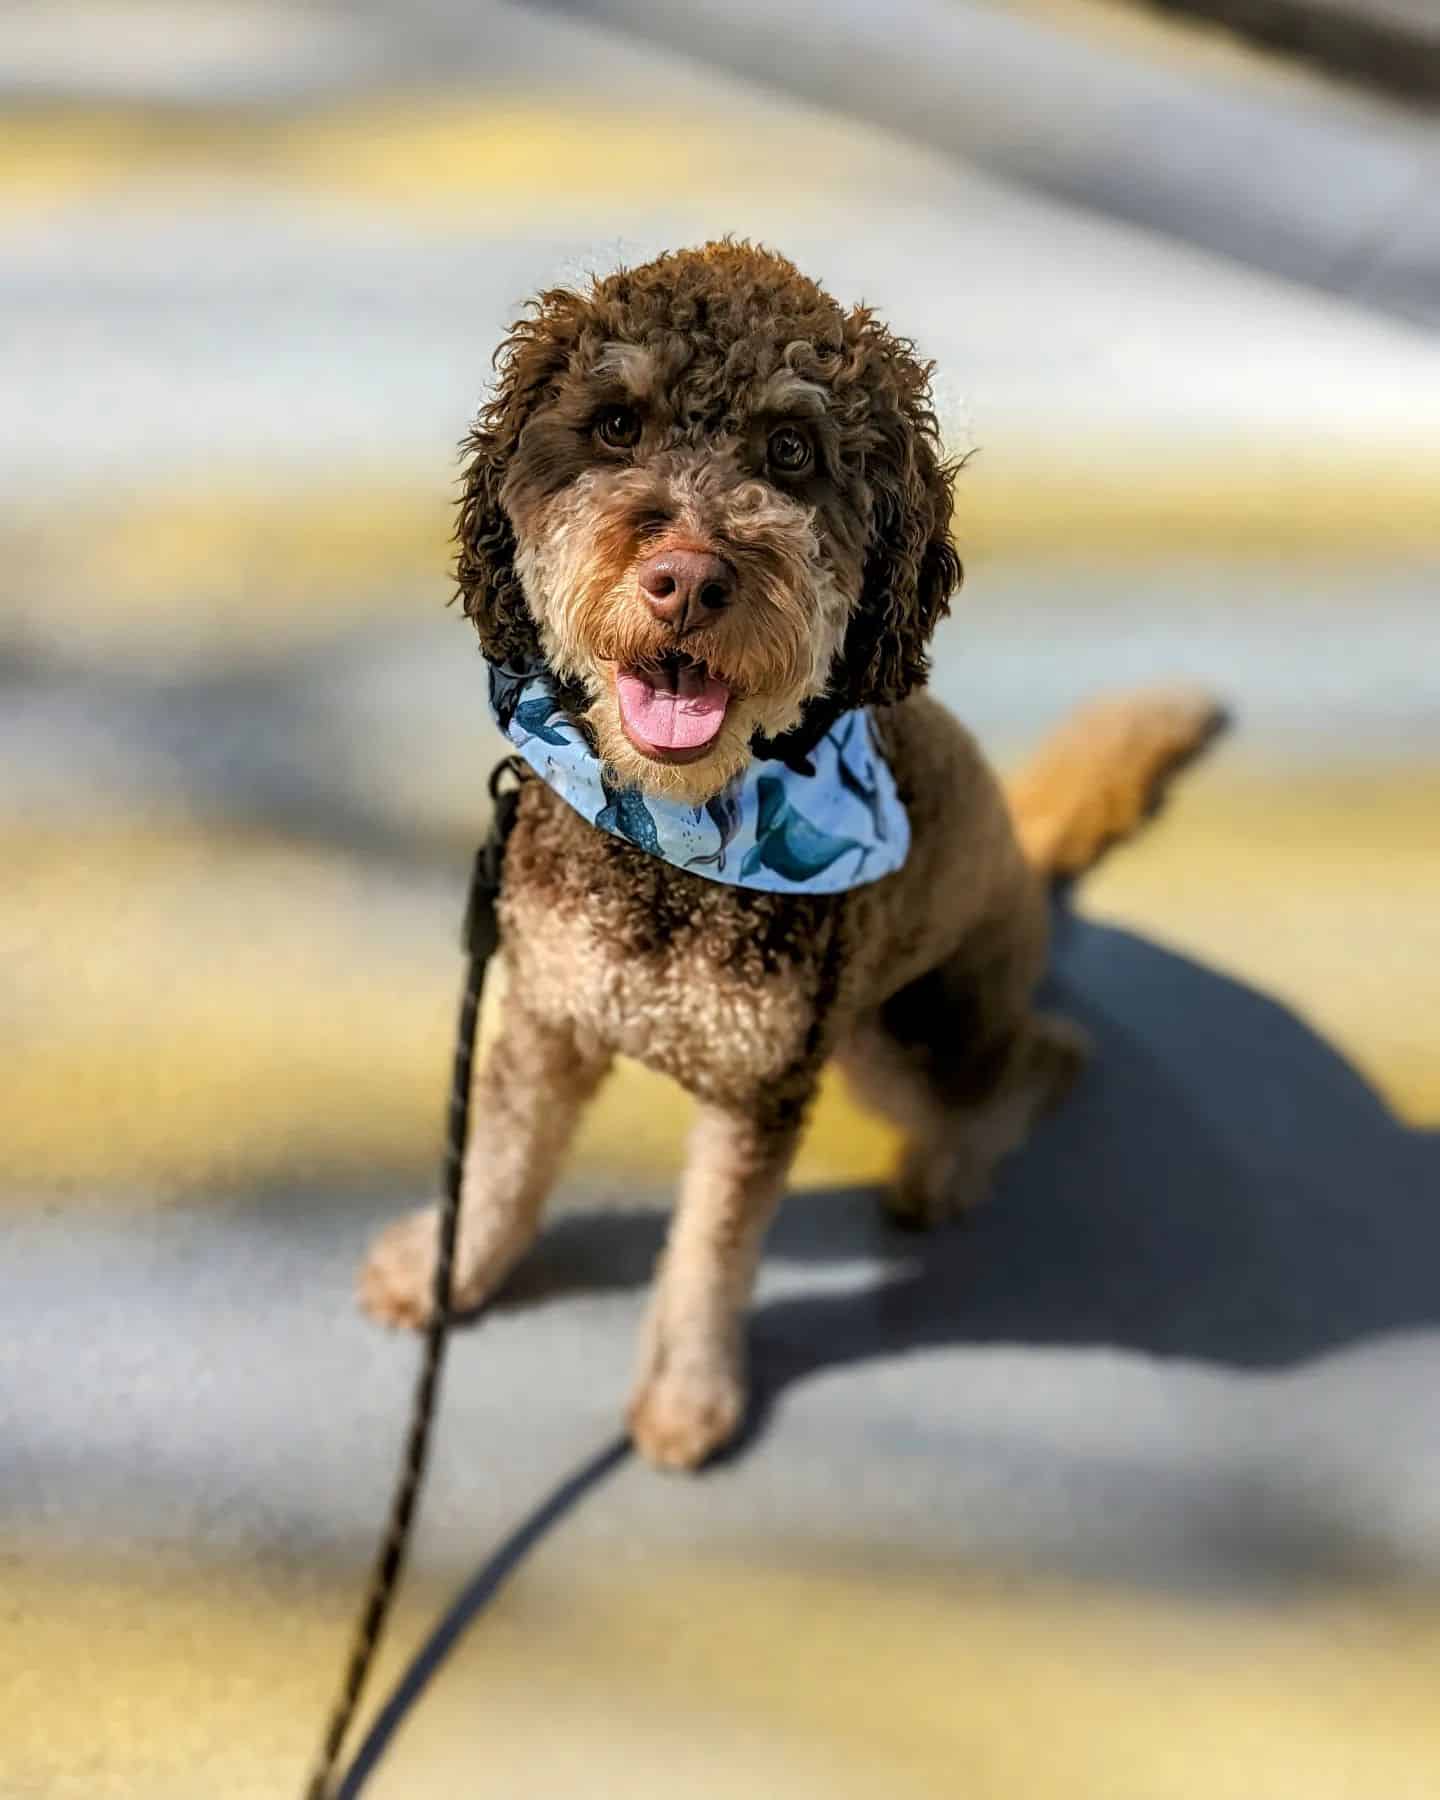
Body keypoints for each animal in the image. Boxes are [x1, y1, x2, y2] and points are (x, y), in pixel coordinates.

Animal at [354, 239, 1224, 1468]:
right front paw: (452, 1267)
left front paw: (689, 1390)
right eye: (614, 424)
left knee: (1042, 1058)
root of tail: (1026, 861)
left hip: (898, 1035)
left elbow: (714, 1250)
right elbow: (506, 1161)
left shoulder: (765, 1086)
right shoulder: (550, 1014)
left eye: (792, 450)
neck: (672, 848)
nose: (688, 577)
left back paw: (947, 1167)